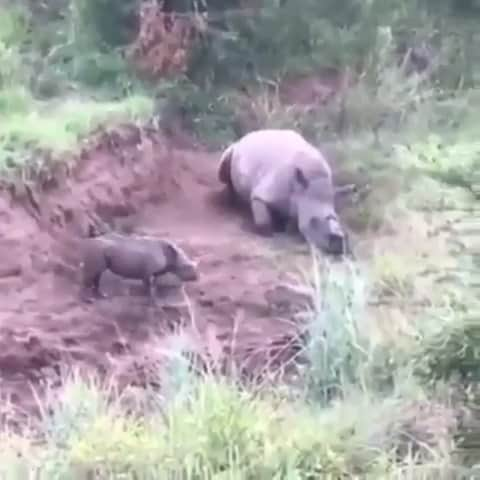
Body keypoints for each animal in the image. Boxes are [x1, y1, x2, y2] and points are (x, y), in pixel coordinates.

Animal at [219, 127, 350, 255]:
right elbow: (262, 213)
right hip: (234, 149)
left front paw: (287, 230)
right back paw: (231, 203)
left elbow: (291, 218)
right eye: (313, 221)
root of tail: (245, 137)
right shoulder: (264, 193)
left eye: (337, 218)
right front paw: (269, 233)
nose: (337, 245)